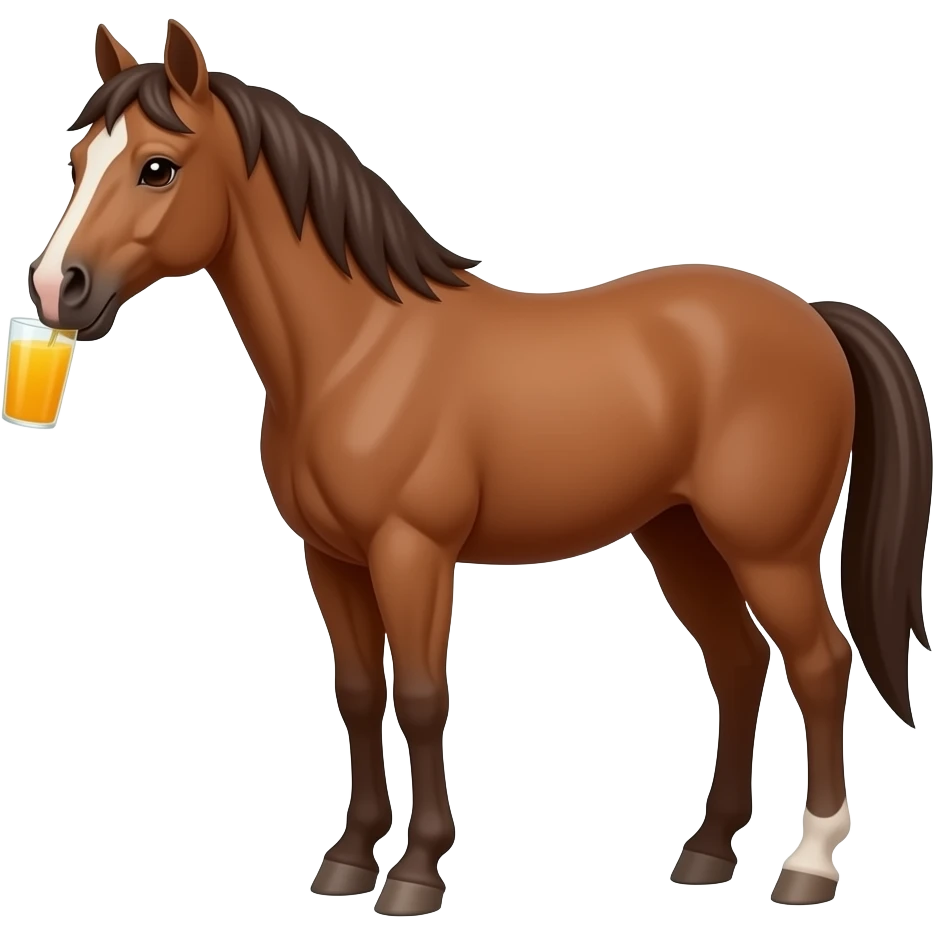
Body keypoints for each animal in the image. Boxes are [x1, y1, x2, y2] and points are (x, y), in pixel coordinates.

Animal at [28, 20, 931, 916]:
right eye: (78, 161)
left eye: (157, 167)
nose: (55, 287)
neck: (357, 352)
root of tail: (810, 315)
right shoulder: (331, 559)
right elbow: (359, 694)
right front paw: (348, 859)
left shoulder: (413, 552)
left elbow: (425, 698)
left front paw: (416, 873)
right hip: (680, 538)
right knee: (739, 663)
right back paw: (707, 850)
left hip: (767, 550)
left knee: (820, 664)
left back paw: (809, 863)